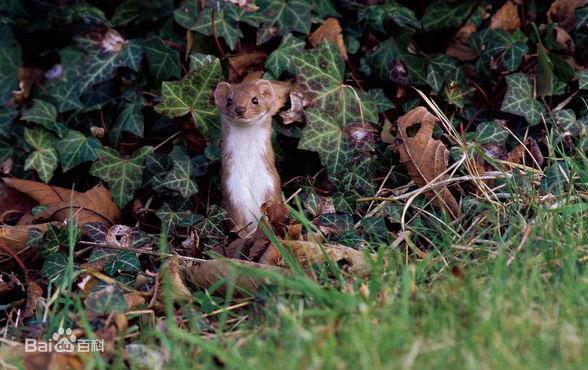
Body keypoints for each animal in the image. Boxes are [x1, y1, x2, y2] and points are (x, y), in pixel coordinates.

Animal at [214, 79, 282, 238]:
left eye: (255, 99)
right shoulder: (232, 188)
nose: (240, 109)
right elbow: (237, 221)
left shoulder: (270, 183)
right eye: (229, 101)